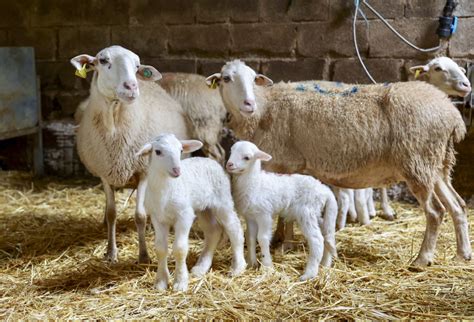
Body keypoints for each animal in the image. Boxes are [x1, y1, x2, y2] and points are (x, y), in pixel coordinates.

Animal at [70, 46, 191, 264]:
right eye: (102, 60)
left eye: (137, 65)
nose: (132, 86)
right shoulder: (105, 173)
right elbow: (112, 213)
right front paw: (110, 252)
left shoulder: (143, 172)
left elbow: (140, 215)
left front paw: (143, 255)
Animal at [136, 134, 246, 292]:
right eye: (157, 152)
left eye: (181, 150)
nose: (177, 170)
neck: (166, 188)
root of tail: (207, 160)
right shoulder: (158, 218)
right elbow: (160, 249)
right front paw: (161, 282)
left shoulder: (184, 215)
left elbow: (180, 249)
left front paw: (180, 282)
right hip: (204, 208)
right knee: (213, 231)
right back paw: (201, 267)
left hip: (222, 200)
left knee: (234, 228)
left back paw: (238, 267)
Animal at [206, 60, 470, 266]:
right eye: (226, 78)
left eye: (253, 78)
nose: (248, 104)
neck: (265, 108)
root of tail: (452, 115)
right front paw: (280, 239)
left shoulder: (288, 164)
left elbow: (286, 213)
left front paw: (284, 245)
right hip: (437, 165)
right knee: (457, 206)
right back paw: (463, 254)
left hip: (418, 162)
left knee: (436, 212)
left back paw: (422, 259)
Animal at [227, 141, 336, 280]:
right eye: (231, 151)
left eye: (247, 157)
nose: (229, 164)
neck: (255, 182)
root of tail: (325, 190)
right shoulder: (250, 216)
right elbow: (250, 238)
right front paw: (252, 263)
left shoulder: (264, 214)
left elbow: (262, 238)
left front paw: (267, 266)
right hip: (318, 214)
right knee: (327, 235)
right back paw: (325, 264)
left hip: (307, 212)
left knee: (317, 240)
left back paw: (309, 274)